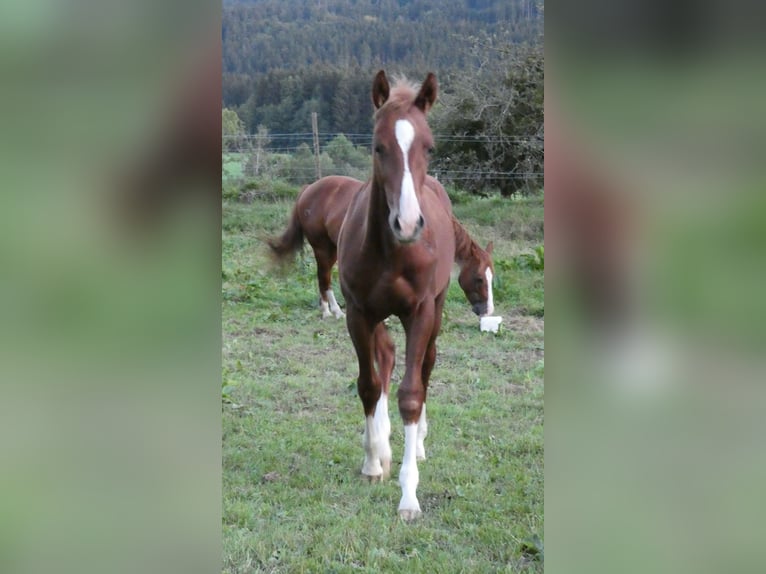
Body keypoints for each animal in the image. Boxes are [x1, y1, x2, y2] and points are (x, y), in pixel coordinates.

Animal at [268, 175, 495, 318]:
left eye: (491, 278)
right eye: (479, 278)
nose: (488, 311)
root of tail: (309, 189)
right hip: (323, 248)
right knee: (323, 278)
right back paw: (330, 311)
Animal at [336, 70, 453, 520]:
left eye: (429, 146)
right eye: (377, 146)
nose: (406, 223)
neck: (392, 252)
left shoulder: (419, 311)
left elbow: (411, 394)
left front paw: (409, 496)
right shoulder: (358, 312)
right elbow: (369, 384)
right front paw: (373, 462)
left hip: (437, 309)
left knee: (426, 367)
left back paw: (416, 445)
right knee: (385, 357)